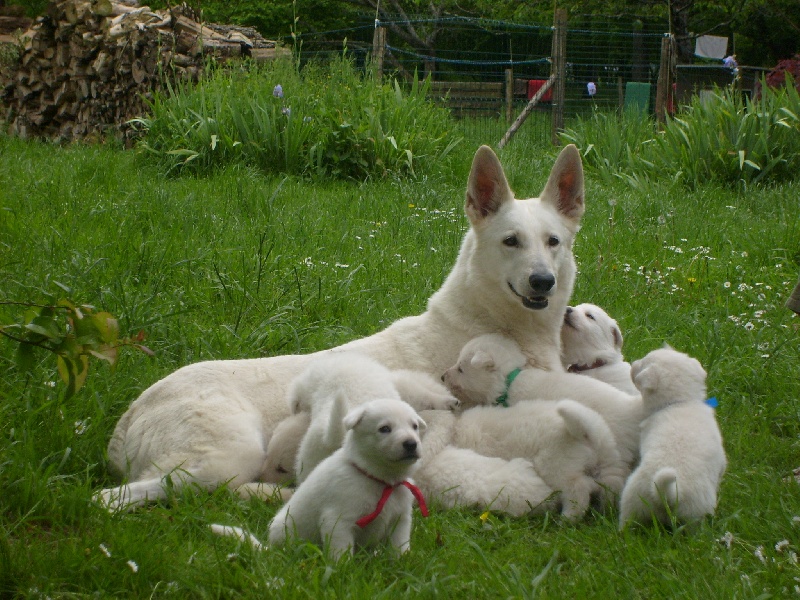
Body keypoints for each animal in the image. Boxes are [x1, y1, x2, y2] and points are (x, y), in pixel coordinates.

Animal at [268, 398, 428, 556]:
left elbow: (399, 546)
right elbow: (342, 553)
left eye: (414, 426)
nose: (411, 444)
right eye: (385, 428)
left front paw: (403, 559)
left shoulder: (401, 519)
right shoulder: (339, 520)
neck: (381, 480)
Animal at [616, 346, 728, 528]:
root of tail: (667, 493)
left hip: (634, 501)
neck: (680, 402)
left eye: (643, 362)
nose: (633, 364)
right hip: (695, 514)